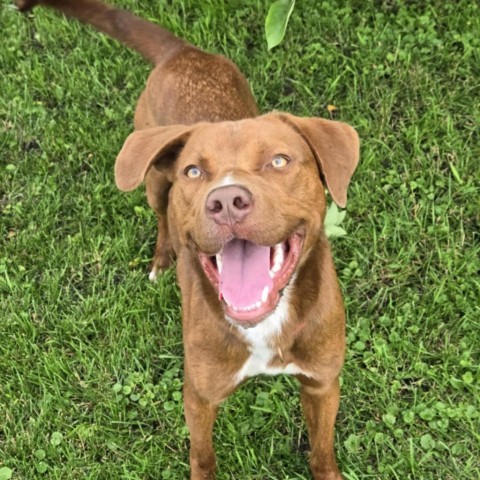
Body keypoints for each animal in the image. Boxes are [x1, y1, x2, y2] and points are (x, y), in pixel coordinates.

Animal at [16, 1, 358, 478]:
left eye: (278, 161)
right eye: (194, 171)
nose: (227, 200)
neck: (264, 324)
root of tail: (182, 51)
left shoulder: (323, 384)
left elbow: (322, 451)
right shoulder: (199, 396)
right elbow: (202, 454)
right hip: (153, 179)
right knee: (162, 218)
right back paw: (161, 261)